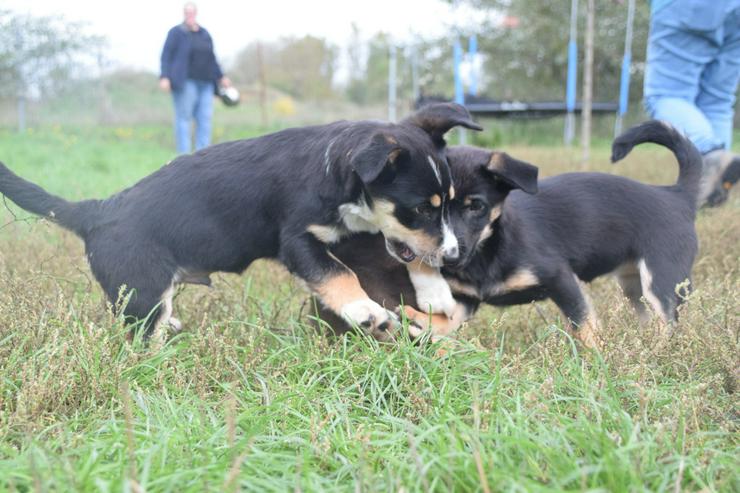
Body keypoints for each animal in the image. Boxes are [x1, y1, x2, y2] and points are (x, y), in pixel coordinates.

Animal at [316, 121, 700, 348]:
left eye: (476, 206)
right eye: (424, 211)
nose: (451, 257)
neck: (487, 253)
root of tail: (676, 195)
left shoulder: (561, 279)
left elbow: (584, 325)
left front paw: (597, 364)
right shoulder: (466, 298)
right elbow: (448, 319)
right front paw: (425, 325)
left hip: (661, 283)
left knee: (667, 322)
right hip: (634, 287)